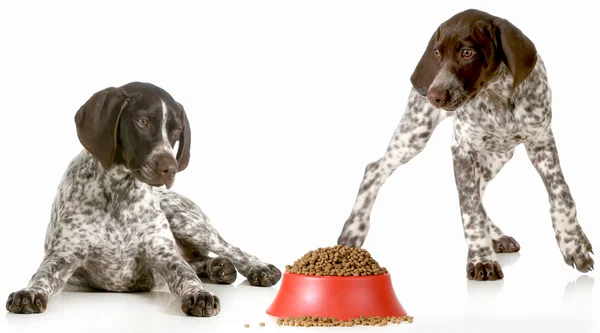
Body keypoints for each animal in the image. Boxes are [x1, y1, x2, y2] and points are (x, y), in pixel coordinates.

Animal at [5, 82, 282, 314]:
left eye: (177, 130)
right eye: (142, 121)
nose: (170, 168)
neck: (119, 191)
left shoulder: (164, 255)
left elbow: (186, 276)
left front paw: (199, 294)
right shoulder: (63, 256)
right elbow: (42, 275)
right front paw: (29, 292)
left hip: (186, 222)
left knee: (229, 249)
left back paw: (258, 268)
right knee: (200, 260)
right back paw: (219, 268)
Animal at [336, 9, 592, 278]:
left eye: (467, 53)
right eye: (437, 53)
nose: (434, 95)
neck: (497, 96)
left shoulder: (541, 140)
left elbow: (561, 194)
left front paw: (573, 244)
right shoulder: (461, 148)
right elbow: (470, 208)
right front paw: (481, 259)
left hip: (499, 153)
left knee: (478, 188)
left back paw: (497, 237)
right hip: (414, 133)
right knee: (374, 170)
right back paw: (353, 231)